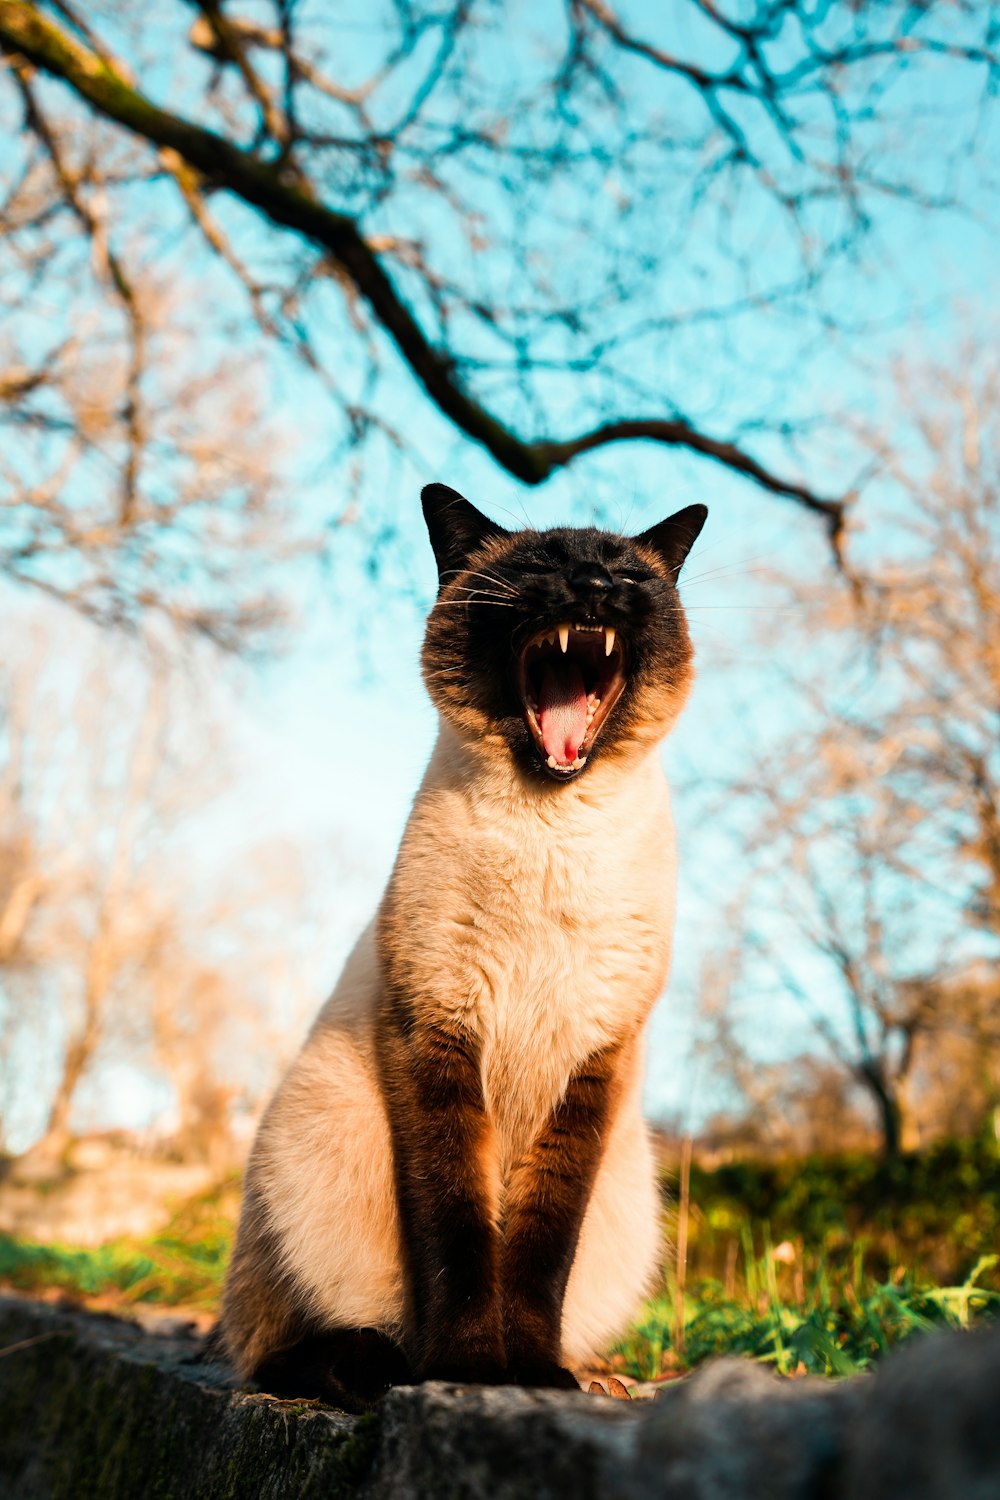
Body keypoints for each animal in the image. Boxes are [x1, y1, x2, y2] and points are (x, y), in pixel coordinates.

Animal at [218, 486, 707, 1410]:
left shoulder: (593, 1061)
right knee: (270, 1352)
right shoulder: (439, 1036)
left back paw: (594, 1378)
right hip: (308, 1153)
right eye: (540, 566)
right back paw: (381, 1366)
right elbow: (460, 1236)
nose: (591, 585)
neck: (551, 829)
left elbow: (540, 1249)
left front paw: (536, 1379)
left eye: (624, 575)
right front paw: (471, 1372)